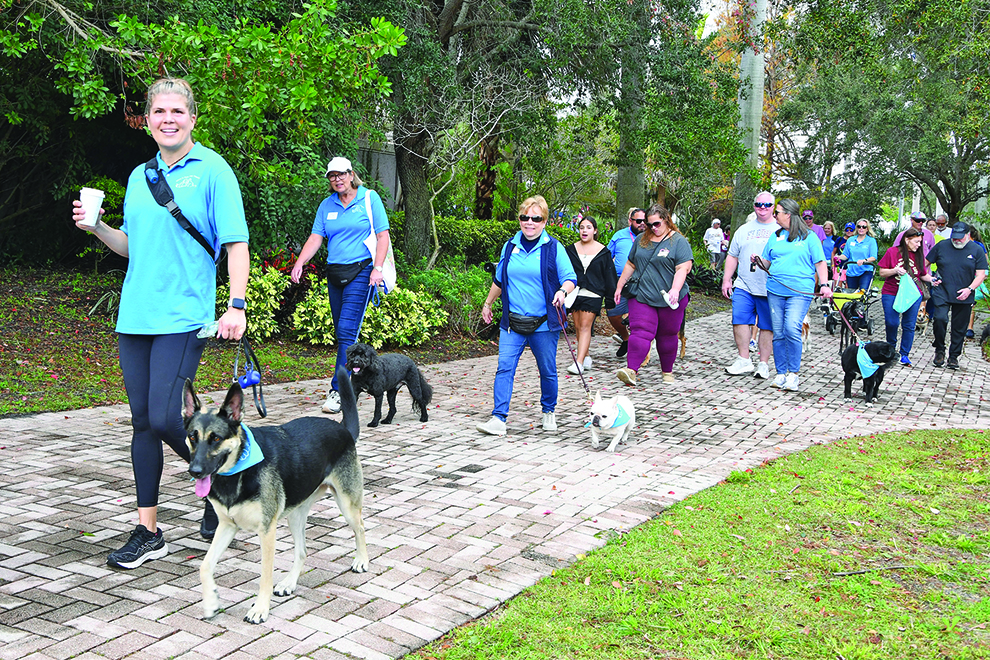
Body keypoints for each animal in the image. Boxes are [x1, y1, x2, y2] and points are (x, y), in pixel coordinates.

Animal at [184, 369, 368, 624]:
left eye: (216, 438)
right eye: (193, 437)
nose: (195, 471)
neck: (239, 470)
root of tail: (343, 429)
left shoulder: (266, 531)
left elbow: (265, 575)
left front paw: (260, 609)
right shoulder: (226, 526)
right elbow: (205, 565)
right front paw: (211, 601)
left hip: (347, 505)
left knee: (360, 527)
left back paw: (362, 560)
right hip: (295, 516)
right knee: (302, 551)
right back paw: (289, 583)